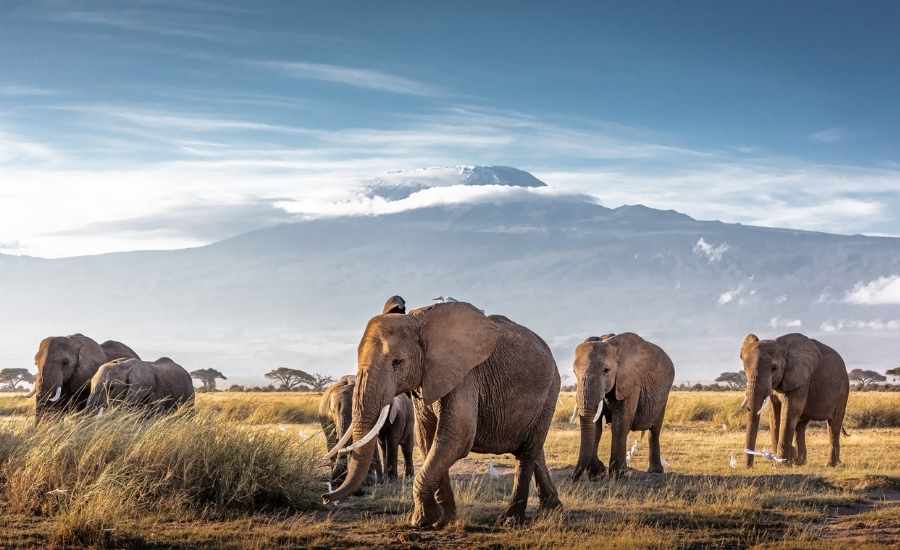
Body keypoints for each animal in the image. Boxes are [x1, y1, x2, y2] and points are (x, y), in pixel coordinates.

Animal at [324, 302, 564, 532]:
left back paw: (511, 521)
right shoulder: (426, 380)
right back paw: (552, 511)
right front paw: (443, 521)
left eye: (397, 362)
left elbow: (456, 437)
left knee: (526, 453)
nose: (326, 497)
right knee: (534, 450)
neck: (417, 321)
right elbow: (429, 440)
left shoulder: (465, 376)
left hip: (550, 390)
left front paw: (420, 521)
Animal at [572, 334, 672, 480]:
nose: (573, 478)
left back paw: (655, 471)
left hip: (663, 396)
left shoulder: (631, 384)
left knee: (654, 430)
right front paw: (597, 474)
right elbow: (596, 427)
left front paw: (618, 474)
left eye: (606, 370)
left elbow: (620, 423)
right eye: (574, 372)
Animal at [740, 334, 852, 468]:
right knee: (801, 425)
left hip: (843, 392)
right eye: (745, 367)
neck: (781, 345)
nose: (749, 467)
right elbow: (774, 414)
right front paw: (781, 462)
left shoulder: (801, 380)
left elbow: (790, 411)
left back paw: (830, 464)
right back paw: (800, 463)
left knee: (833, 425)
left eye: (774, 368)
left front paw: (781, 465)